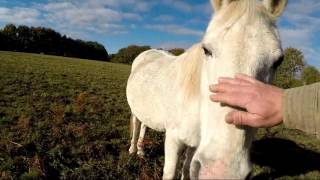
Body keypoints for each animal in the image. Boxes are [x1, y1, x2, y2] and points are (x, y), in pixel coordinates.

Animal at [126, 0, 286, 179]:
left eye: (278, 61)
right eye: (206, 50)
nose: (221, 173)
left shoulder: (196, 146)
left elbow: (187, 168)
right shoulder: (173, 140)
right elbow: (170, 173)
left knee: (144, 126)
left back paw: (141, 151)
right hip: (134, 110)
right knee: (136, 125)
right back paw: (133, 150)